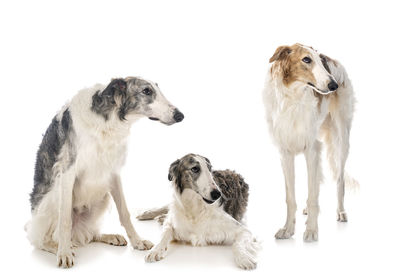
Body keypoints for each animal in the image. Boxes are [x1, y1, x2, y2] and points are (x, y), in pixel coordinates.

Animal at [25, 77, 185, 270]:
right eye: (146, 91)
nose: (180, 116)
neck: (108, 119)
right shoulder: (67, 171)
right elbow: (64, 221)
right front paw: (63, 253)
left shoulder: (113, 172)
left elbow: (124, 213)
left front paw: (137, 241)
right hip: (53, 198)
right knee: (41, 239)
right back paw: (61, 247)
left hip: (102, 195)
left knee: (90, 235)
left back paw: (108, 237)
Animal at [264, 43, 358, 243]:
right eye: (306, 59)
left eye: (320, 61)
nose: (333, 86)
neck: (292, 99)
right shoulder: (285, 152)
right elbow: (291, 198)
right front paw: (287, 230)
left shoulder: (312, 149)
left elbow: (313, 196)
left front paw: (312, 231)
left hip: (342, 139)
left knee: (339, 180)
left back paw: (341, 212)